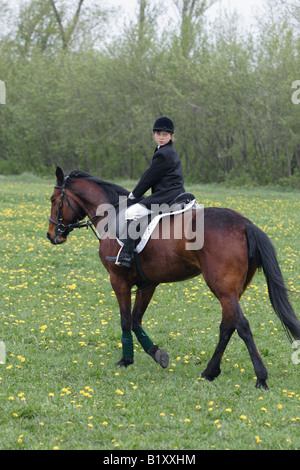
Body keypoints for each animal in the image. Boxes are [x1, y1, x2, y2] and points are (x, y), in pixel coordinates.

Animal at [47, 168, 300, 390]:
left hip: (222, 288)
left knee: (242, 326)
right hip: (232, 290)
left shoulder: (118, 280)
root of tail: (244, 224)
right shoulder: (147, 284)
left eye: (53, 200)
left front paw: (126, 360)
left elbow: (126, 320)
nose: (51, 235)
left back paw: (261, 378)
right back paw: (210, 372)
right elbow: (137, 320)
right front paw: (157, 354)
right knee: (227, 326)